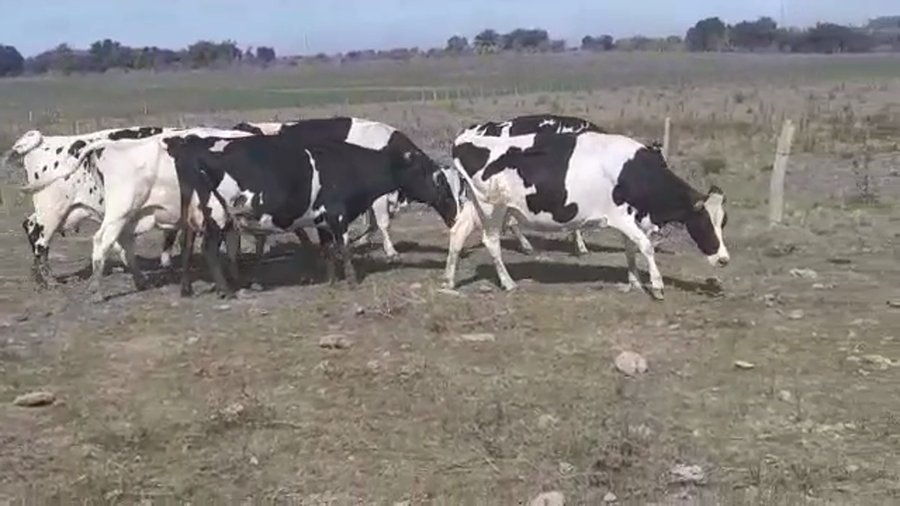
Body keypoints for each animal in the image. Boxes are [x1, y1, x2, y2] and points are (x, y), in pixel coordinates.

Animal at [162, 119, 460, 298]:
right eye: (435, 177)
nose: (453, 213)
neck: (348, 162)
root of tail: (193, 144)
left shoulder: (323, 218)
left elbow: (329, 248)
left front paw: (331, 280)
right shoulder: (338, 214)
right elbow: (345, 246)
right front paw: (353, 279)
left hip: (194, 212)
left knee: (187, 241)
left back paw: (187, 288)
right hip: (217, 213)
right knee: (208, 249)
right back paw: (226, 290)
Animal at [444, 116, 730, 300]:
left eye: (723, 222)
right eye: (704, 222)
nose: (724, 259)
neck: (635, 172)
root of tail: (464, 138)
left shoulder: (631, 219)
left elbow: (630, 250)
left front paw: (635, 281)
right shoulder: (622, 217)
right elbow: (645, 246)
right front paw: (657, 286)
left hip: (475, 205)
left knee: (458, 233)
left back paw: (448, 280)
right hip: (493, 208)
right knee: (491, 242)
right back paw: (508, 282)